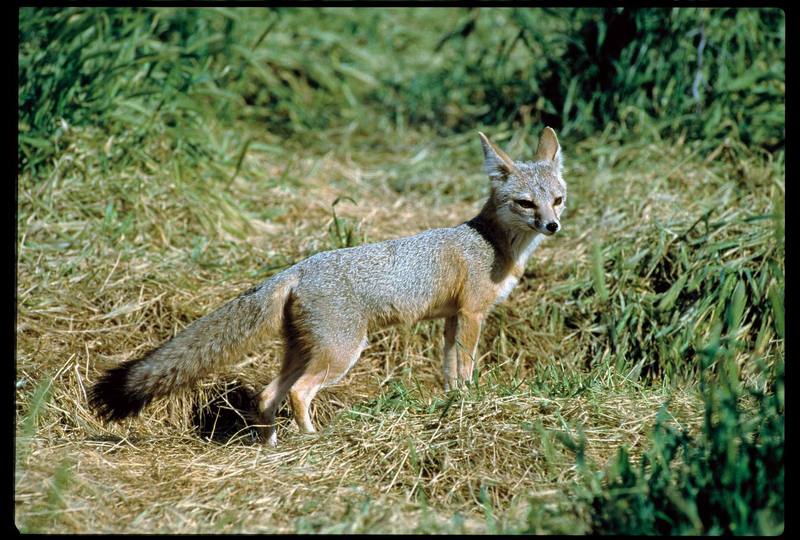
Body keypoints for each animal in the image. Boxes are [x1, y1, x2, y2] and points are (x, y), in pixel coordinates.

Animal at [89, 127, 568, 448]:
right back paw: (312, 439)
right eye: (526, 203)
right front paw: (471, 401)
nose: (553, 226)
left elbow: (449, 370)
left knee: (268, 393)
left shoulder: (452, 318)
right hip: (341, 354)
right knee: (298, 393)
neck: (491, 242)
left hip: (305, 350)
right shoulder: (471, 314)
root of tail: (299, 267)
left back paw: (273, 446)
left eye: (557, 200)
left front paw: (454, 404)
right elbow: (465, 368)